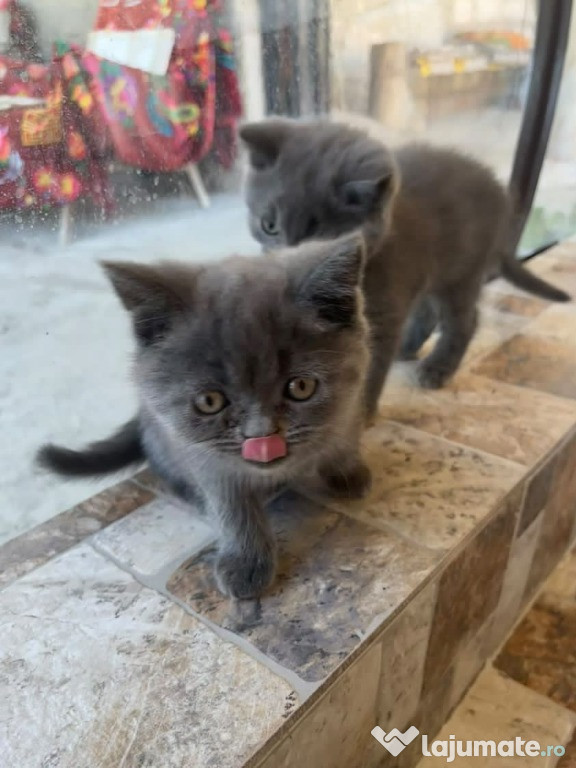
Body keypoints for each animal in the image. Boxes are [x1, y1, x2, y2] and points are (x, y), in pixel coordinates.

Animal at [38, 232, 372, 600]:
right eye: (209, 401)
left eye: (301, 387)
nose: (262, 437)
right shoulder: (204, 456)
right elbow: (230, 505)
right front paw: (245, 561)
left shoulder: (350, 405)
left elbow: (343, 436)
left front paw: (348, 471)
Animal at [241, 118, 568, 420]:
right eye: (269, 226)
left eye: (319, 240)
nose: (285, 263)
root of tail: (501, 193)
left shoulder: (385, 308)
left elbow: (369, 366)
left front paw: (359, 419)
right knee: (428, 311)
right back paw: (407, 348)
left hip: (461, 273)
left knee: (465, 319)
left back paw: (437, 368)